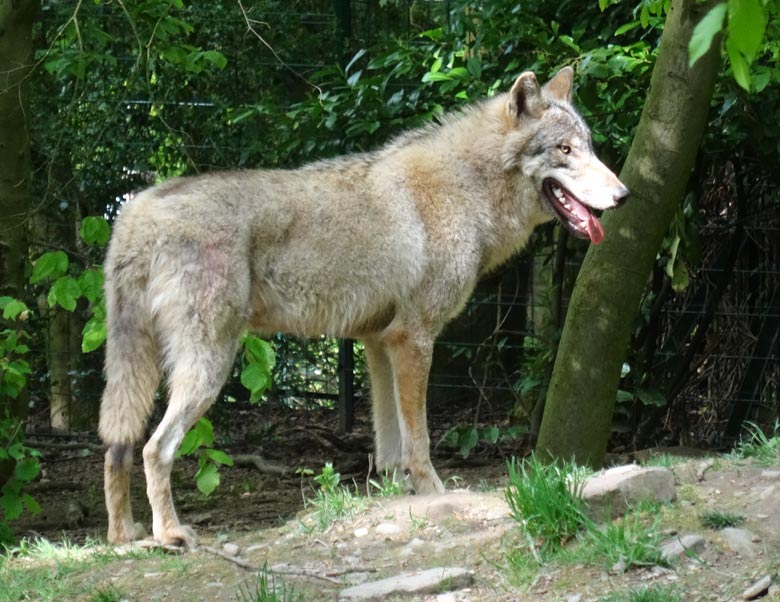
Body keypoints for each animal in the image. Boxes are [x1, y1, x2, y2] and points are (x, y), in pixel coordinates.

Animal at [100, 68, 632, 548]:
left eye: (589, 146)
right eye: (565, 150)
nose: (624, 195)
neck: (467, 190)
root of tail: (136, 209)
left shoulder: (378, 344)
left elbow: (389, 441)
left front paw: (397, 494)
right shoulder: (414, 339)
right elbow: (419, 437)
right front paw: (433, 490)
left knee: (117, 447)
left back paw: (123, 536)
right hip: (209, 367)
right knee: (155, 448)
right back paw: (170, 534)